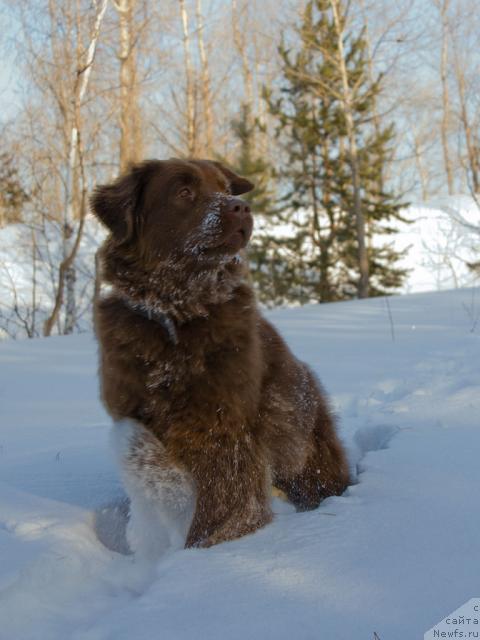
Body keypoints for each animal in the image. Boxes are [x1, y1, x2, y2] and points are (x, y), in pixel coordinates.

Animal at [92, 160, 350, 552]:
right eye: (184, 192)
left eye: (225, 188)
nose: (240, 207)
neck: (177, 313)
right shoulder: (131, 407)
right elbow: (139, 451)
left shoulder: (223, 426)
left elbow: (222, 506)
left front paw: (203, 552)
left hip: (305, 446)